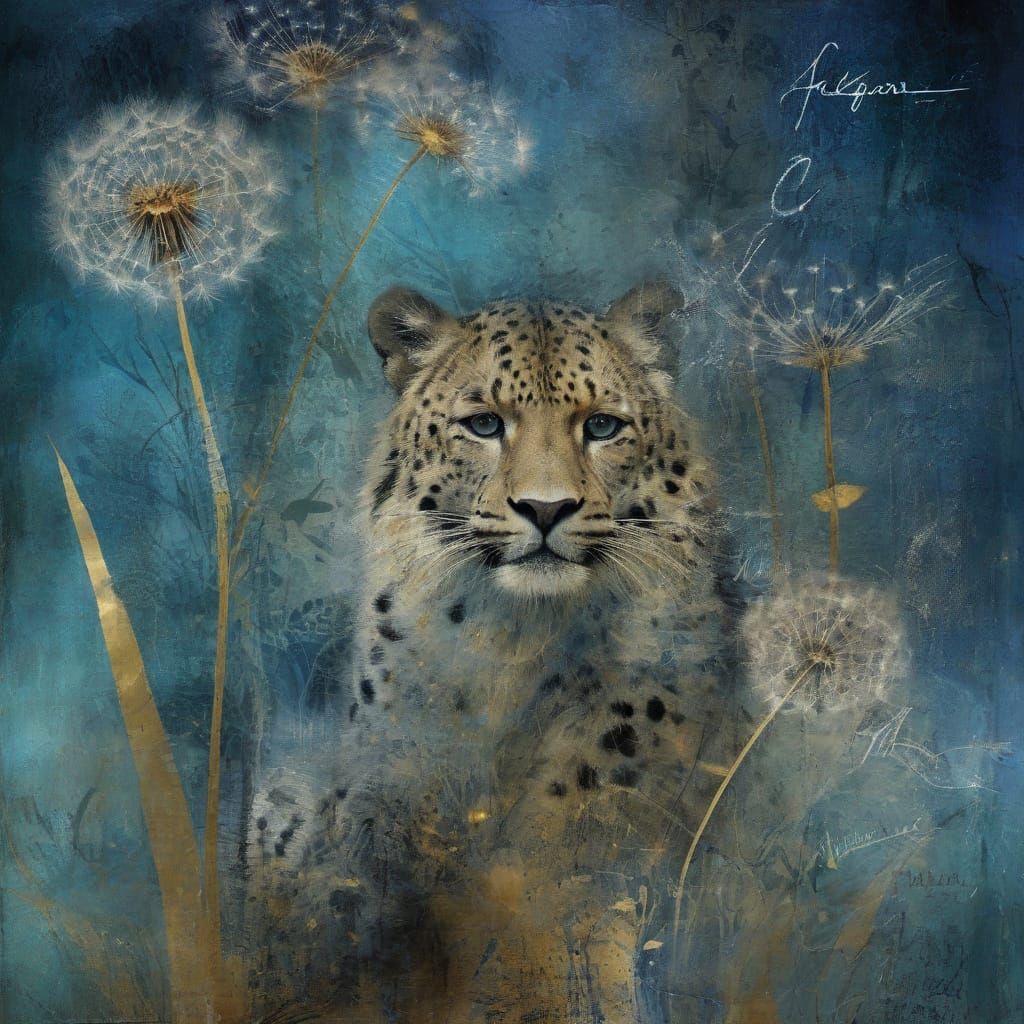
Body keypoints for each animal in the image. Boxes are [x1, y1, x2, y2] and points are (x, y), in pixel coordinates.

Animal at [243, 282, 751, 1024]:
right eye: (484, 424)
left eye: (602, 427)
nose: (546, 508)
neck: (516, 637)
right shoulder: (386, 765)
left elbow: (557, 855)